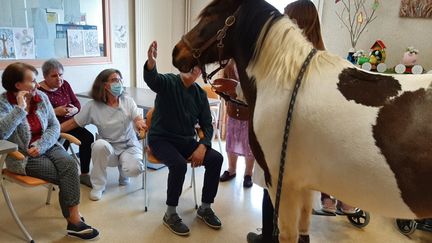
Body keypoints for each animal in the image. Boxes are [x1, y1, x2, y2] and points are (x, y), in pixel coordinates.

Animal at [171, 0, 432, 242]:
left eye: (210, 15)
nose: (176, 52)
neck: (285, 82)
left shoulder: (283, 183)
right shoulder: (305, 185)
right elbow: (304, 228)